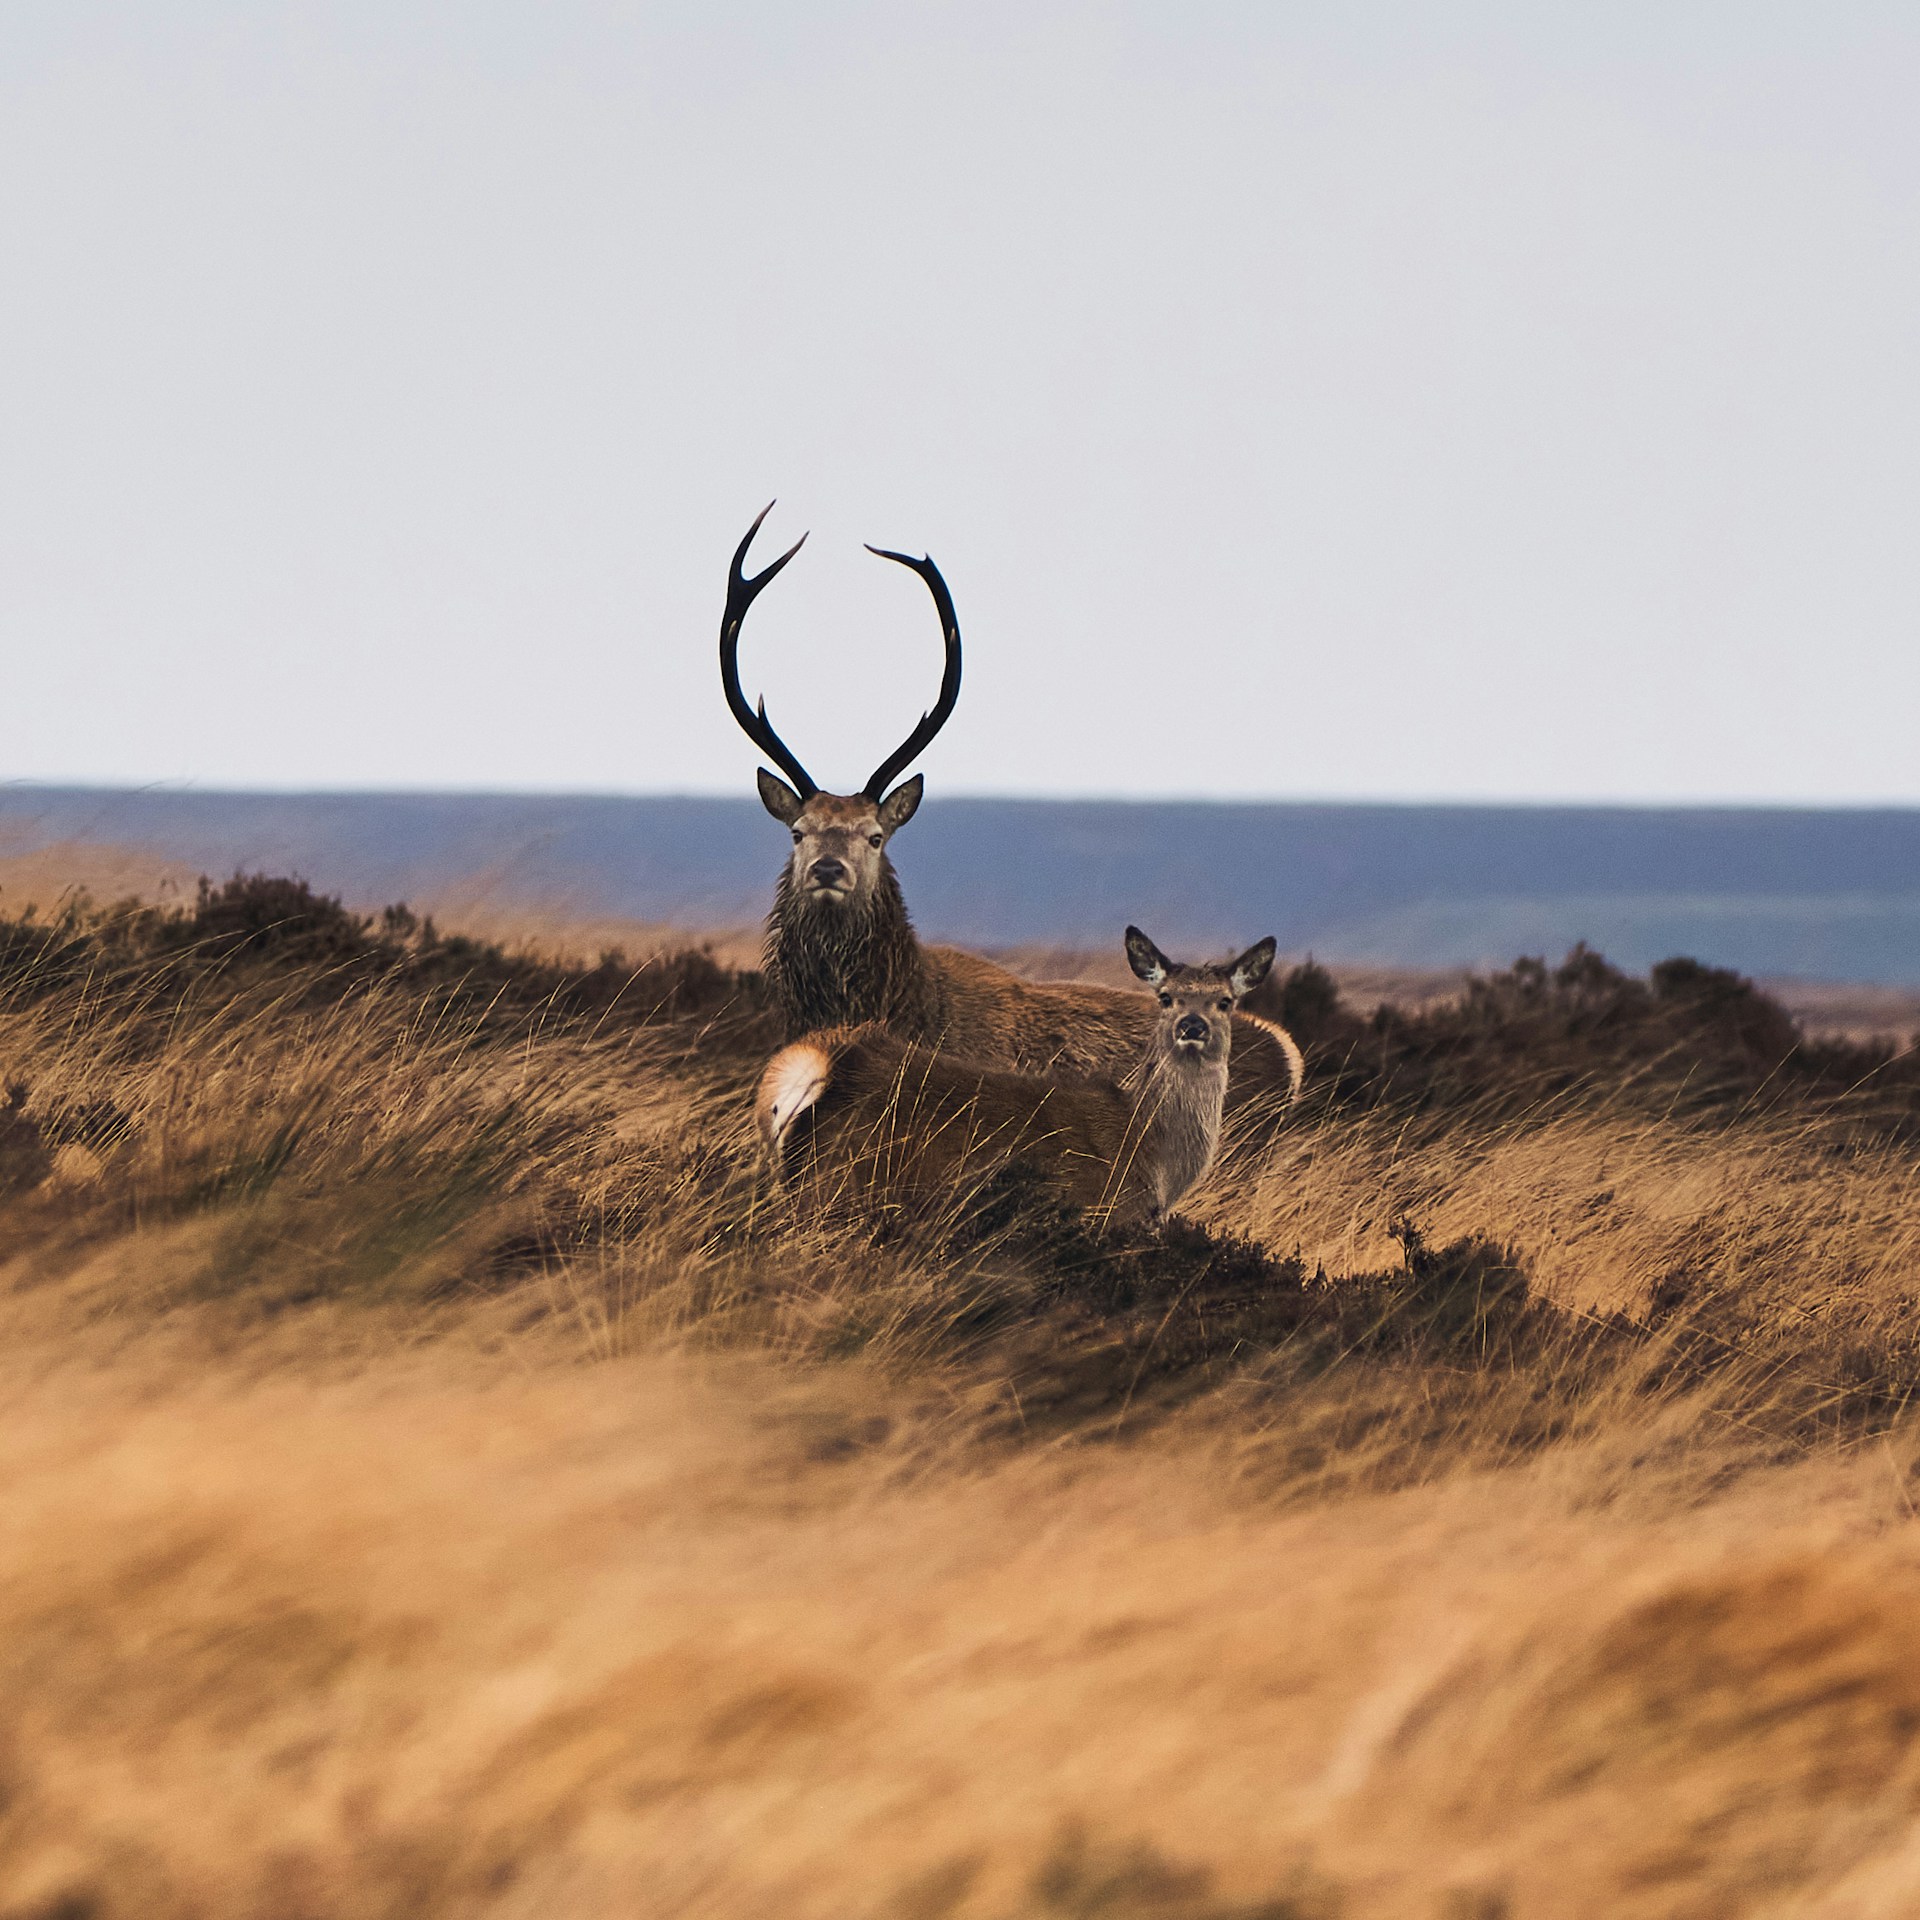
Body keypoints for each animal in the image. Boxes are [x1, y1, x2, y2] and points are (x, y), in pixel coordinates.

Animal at [756, 927, 1277, 1226]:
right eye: (1166, 996)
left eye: (1225, 1001)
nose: (1193, 1026)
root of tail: (816, 1064)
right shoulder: (1103, 1210)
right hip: (840, 1185)